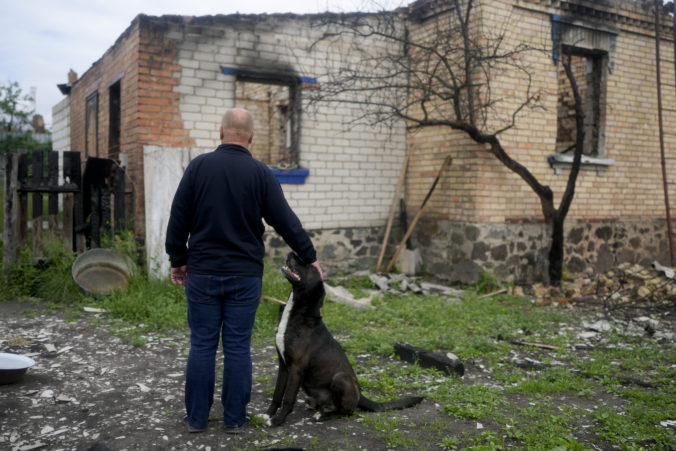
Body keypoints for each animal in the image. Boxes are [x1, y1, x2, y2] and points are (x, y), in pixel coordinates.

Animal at [266, 254, 420, 428]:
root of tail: (361, 395)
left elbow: (288, 398)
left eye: (307, 265)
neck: (298, 313)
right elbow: (277, 393)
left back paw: (324, 415)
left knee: (346, 412)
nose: (291, 253)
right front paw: (267, 414)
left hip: (341, 379)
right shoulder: (283, 365)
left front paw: (278, 420)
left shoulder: (296, 368)